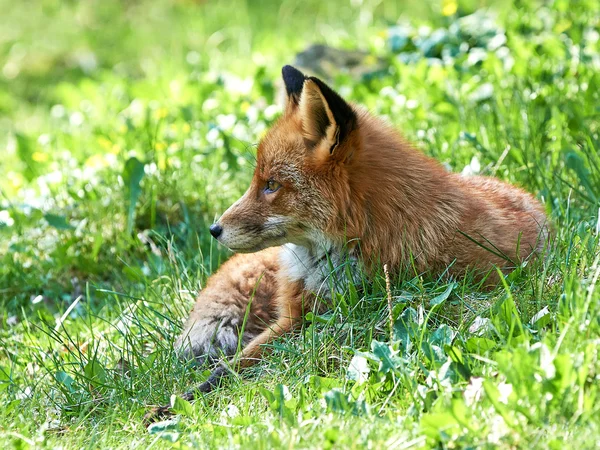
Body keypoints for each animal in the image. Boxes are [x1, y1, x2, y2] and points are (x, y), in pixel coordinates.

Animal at [170, 66, 548, 398]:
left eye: (271, 185)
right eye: (258, 181)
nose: (214, 229)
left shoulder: (329, 319)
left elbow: (233, 368)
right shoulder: (293, 317)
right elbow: (230, 366)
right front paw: (181, 400)